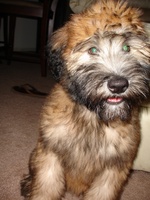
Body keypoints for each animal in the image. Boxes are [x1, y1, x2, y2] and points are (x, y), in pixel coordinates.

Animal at [21, 0, 150, 200]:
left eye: (127, 48)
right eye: (93, 50)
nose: (118, 85)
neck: (93, 117)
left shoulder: (115, 166)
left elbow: (103, 192)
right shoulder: (50, 152)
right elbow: (46, 186)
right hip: (36, 153)